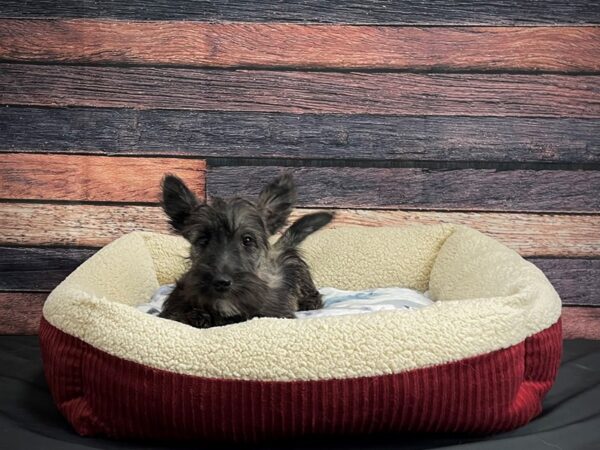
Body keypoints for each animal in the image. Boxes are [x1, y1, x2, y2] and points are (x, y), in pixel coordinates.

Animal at [157, 171, 332, 326]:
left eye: (247, 240)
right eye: (203, 240)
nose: (221, 282)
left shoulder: (274, 312)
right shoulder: (174, 308)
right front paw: (199, 316)